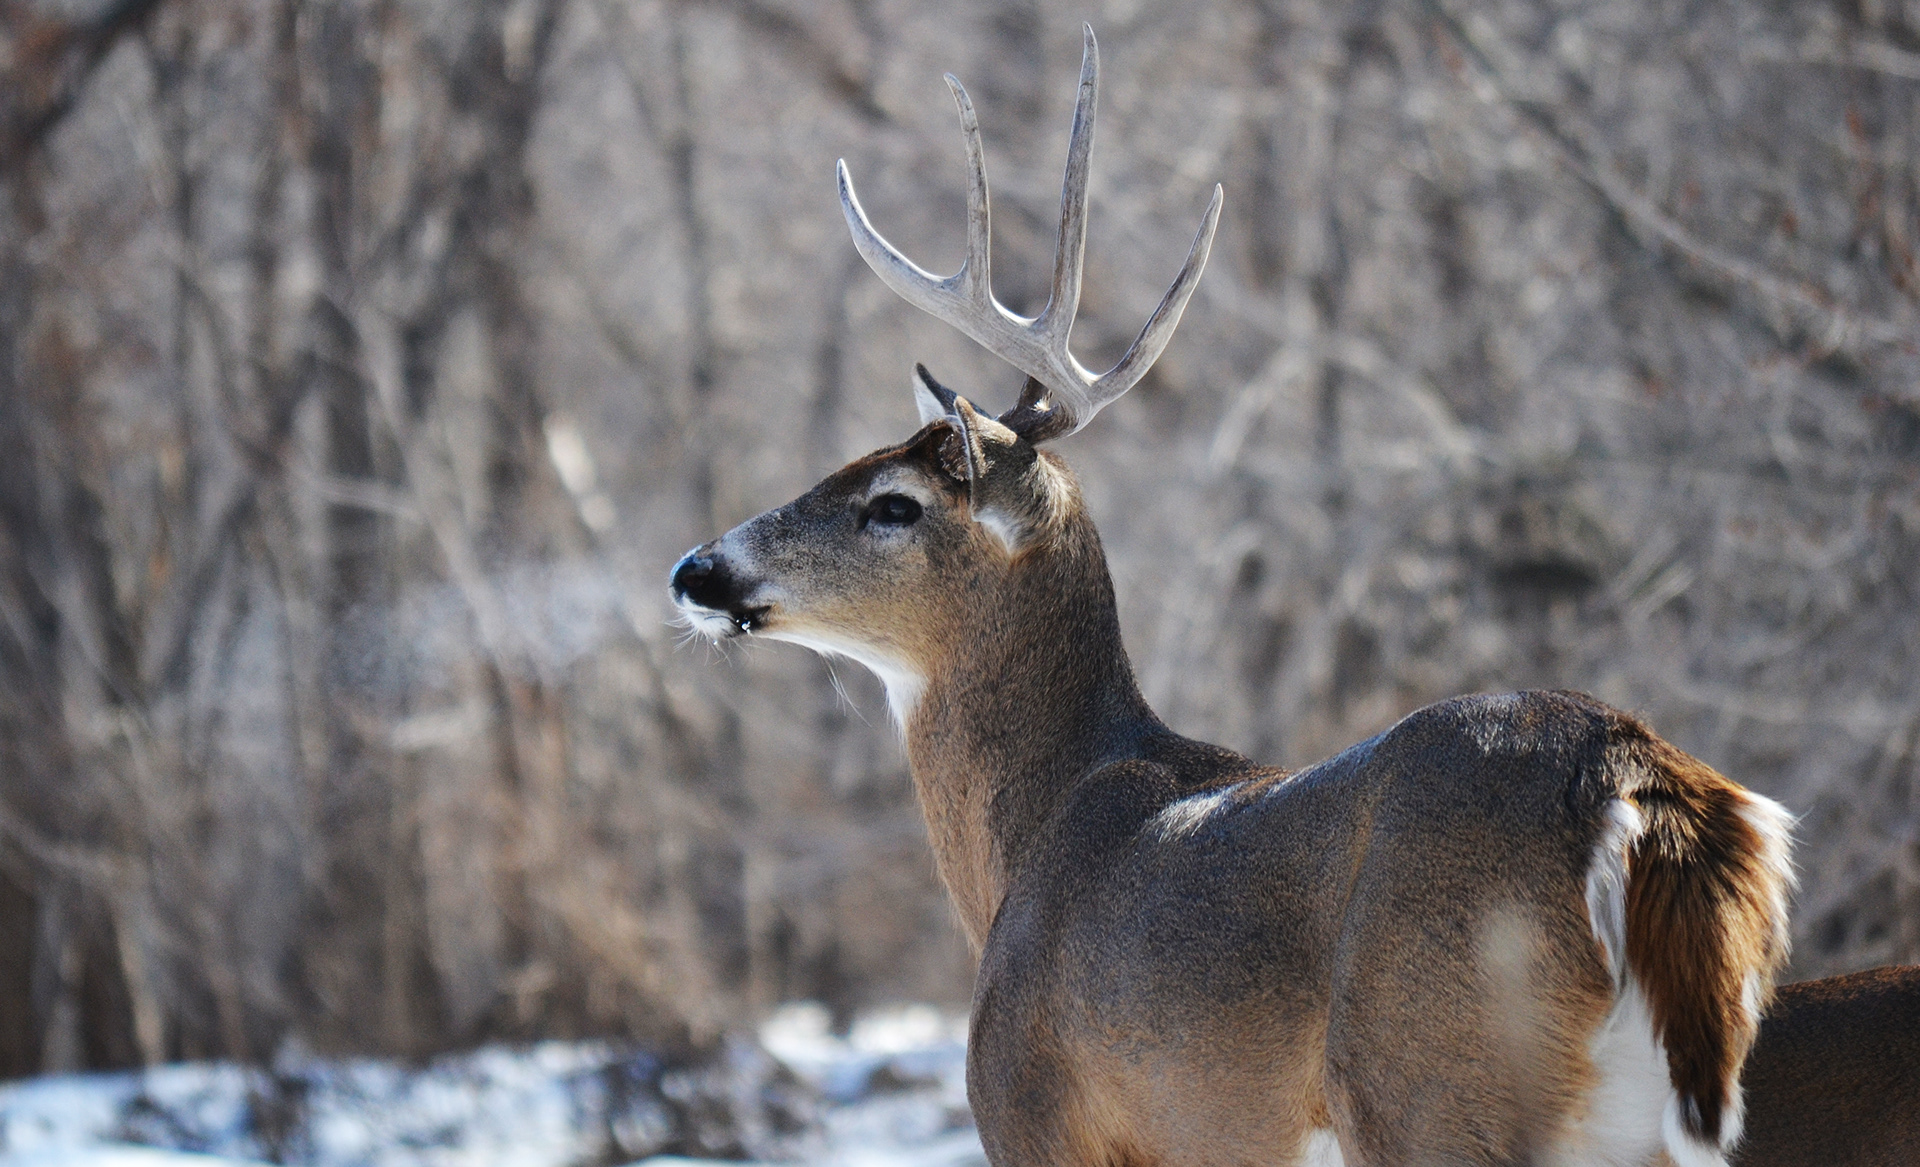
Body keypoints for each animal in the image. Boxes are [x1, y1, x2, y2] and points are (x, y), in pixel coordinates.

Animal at [670, 27, 1794, 1167]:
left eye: (893, 504)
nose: (696, 570)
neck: (1033, 833)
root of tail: (1639, 785)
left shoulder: (1034, 1113)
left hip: (1432, 1087)